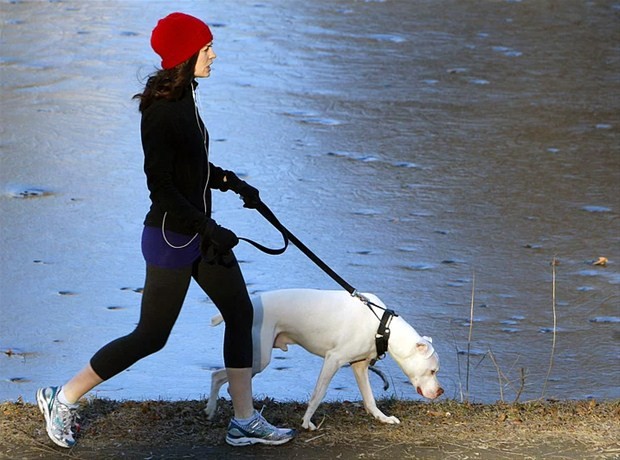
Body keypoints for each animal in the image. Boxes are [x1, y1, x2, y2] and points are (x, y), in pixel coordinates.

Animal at [206, 290, 444, 430]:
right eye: (432, 371)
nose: (440, 391)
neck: (383, 327)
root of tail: (249, 305)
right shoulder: (333, 360)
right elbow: (318, 394)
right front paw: (306, 422)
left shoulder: (359, 366)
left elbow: (369, 398)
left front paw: (381, 417)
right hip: (259, 358)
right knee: (217, 374)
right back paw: (211, 408)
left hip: (256, 358)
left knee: (226, 380)